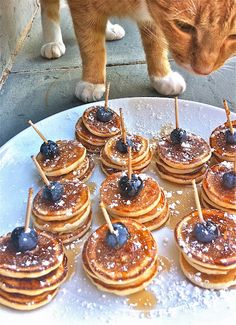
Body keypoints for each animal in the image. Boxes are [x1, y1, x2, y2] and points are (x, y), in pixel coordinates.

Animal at [39, 0, 235, 102]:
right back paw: (52, 41)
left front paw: (162, 77)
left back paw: (108, 30)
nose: (203, 71)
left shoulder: (153, 16)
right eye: (183, 26)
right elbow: (91, 46)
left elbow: (156, 43)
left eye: (233, 36)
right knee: (49, 8)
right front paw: (92, 82)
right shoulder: (82, 7)